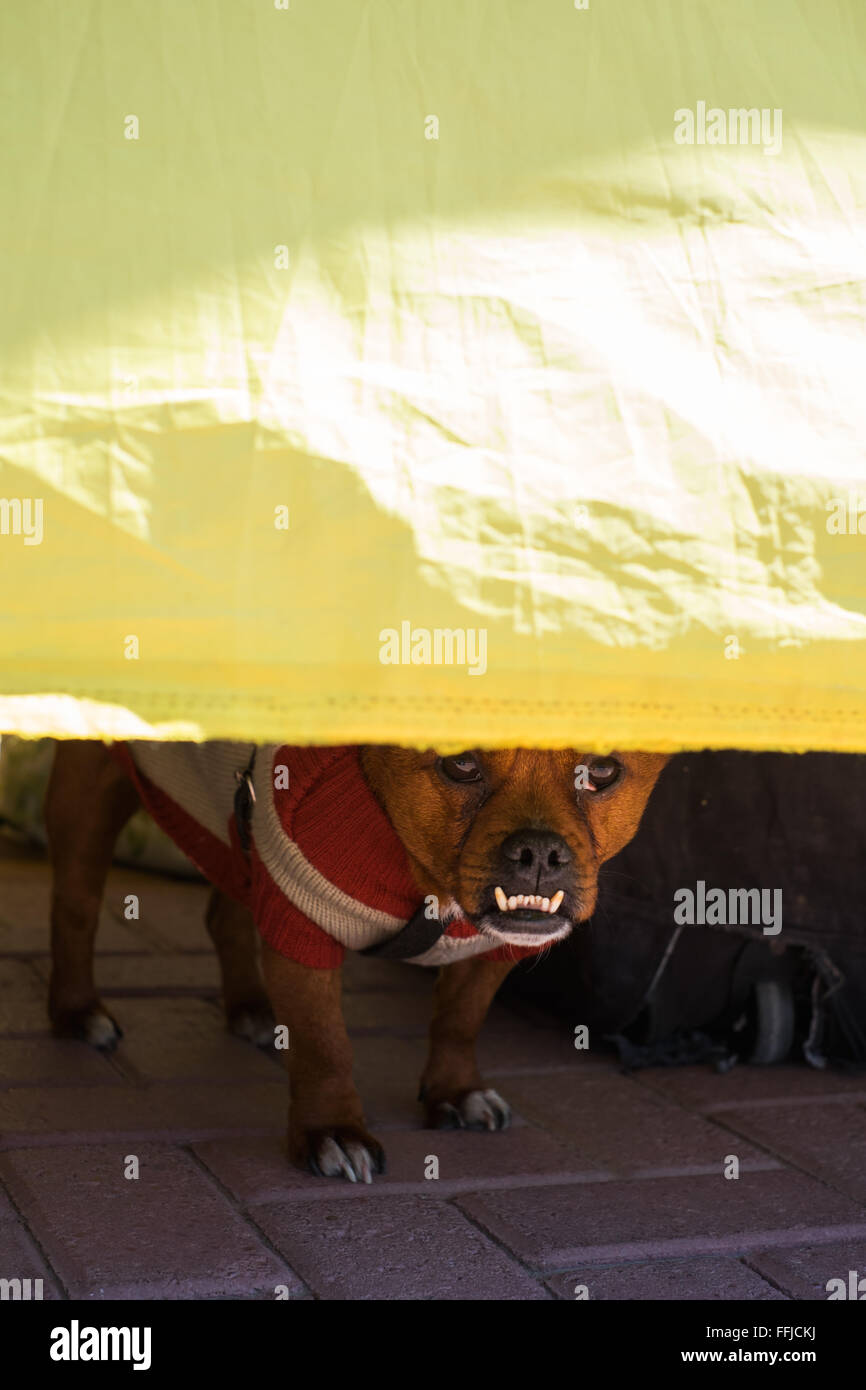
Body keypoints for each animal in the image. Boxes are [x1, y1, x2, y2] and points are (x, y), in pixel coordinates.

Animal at [45, 745, 670, 1178]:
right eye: (460, 764)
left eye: (603, 771)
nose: (539, 851)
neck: (428, 884)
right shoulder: (302, 919)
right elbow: (325, 1044)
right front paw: (334, 1130)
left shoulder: (490, 953)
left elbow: (460, 1020)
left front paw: (455, 1090)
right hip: (89, 795)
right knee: (74, 909)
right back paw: (77, 1011)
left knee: (227, 909)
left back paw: (249, 1005)